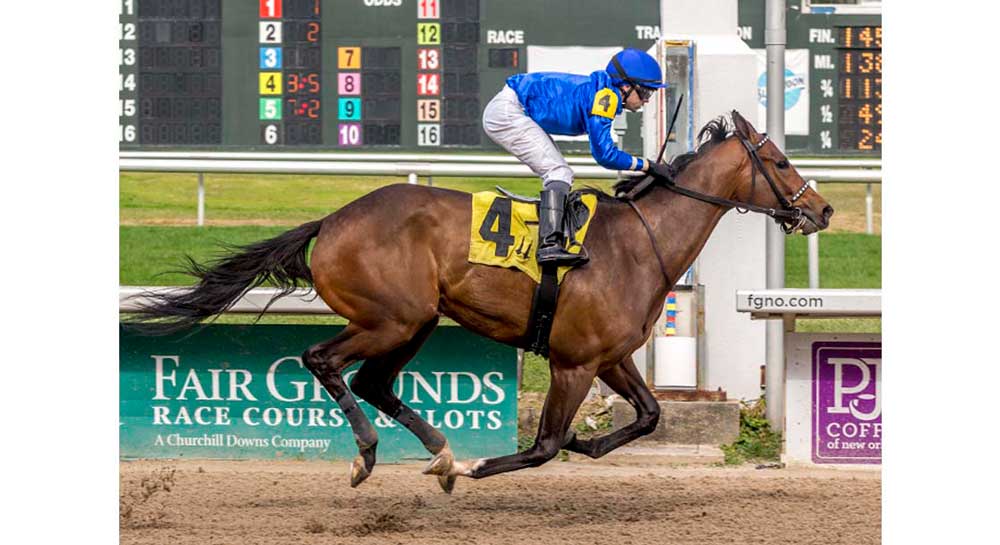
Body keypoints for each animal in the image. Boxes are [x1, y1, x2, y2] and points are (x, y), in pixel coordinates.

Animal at [133, 111, 836, 492]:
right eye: (778, 159)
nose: (823, 209)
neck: (641, 241)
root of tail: (330, 221)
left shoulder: (610, 357)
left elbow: (649, 416)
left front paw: (582, 445)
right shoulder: (574, 363)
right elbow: (544, 445)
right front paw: (487, 465)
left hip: (413, 321)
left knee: (374, 382)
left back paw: (440, 453)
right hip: (392, 317)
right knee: (324, 361)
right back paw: (376, 454)